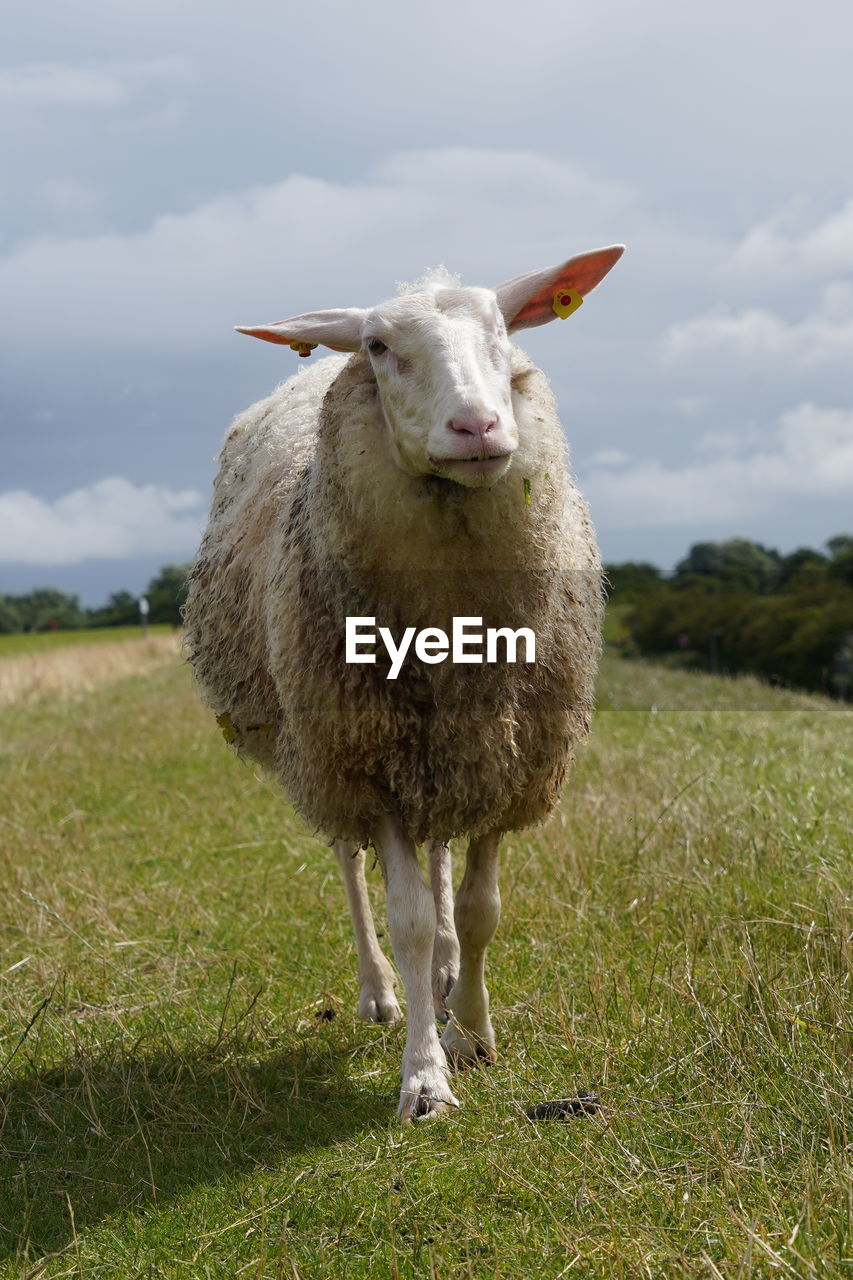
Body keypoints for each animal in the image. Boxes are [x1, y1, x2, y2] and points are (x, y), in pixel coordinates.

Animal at [183, 241, 622, 1121]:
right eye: (381, 348)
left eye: (502, 329)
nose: (477, 426)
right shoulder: (369, 759)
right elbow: (407, 916)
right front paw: (424, 1074)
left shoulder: (509, 755)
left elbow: (481, 911)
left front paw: (473, 1032)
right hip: (321, 748)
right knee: (352, 865)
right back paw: (383, 993)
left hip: (443, 753)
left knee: (442, 853)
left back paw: (448, 980)